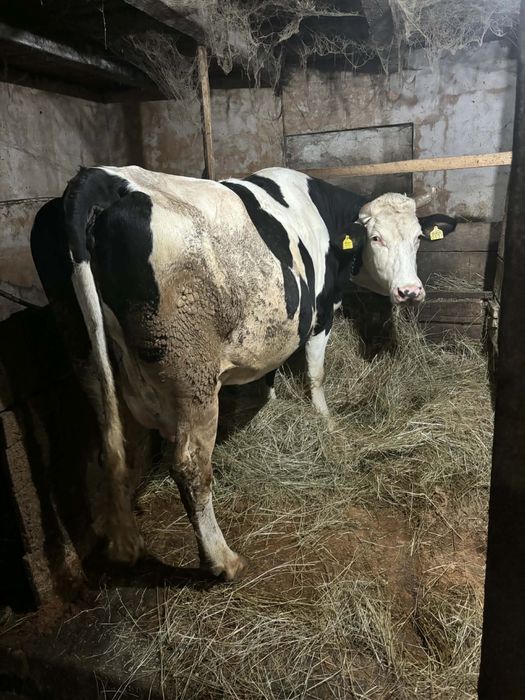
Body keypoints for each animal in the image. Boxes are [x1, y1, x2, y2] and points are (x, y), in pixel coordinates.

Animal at [31, 165, 456, 580]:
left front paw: (270, 405)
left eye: (418, 238)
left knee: (111, 450)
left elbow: (268, 373)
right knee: (189, 464)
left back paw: (129, 542)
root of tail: (97, 177)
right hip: (192, 374)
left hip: (87, 356)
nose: (409, 291)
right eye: (375, 238)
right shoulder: (320, 314)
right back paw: (223, 560)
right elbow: (315, 375)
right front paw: (327, 422)